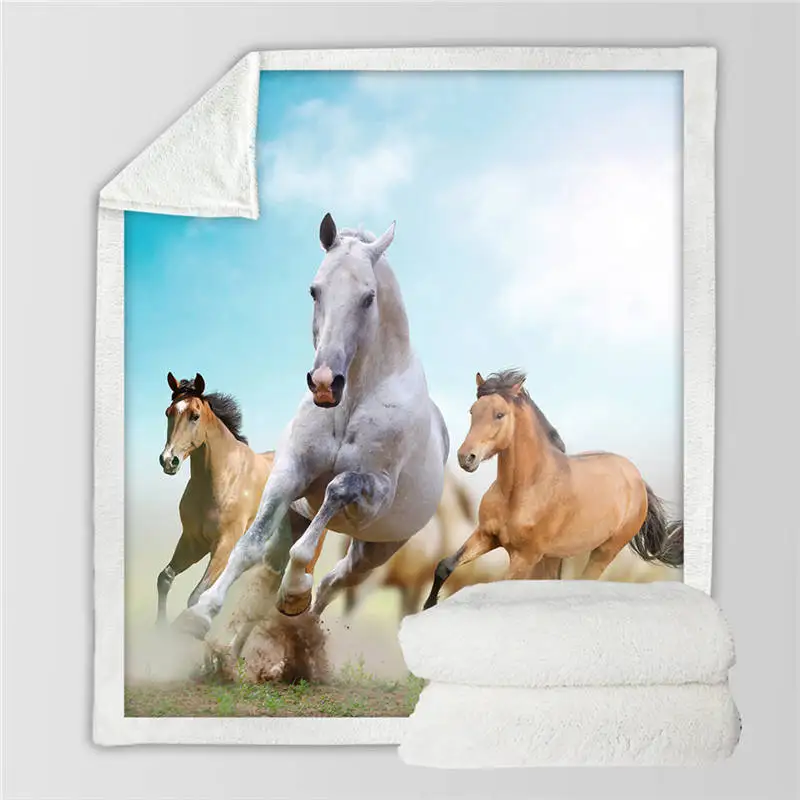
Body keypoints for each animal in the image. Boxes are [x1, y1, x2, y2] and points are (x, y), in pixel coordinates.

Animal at [157, 372, 326, 639]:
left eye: (195, 415)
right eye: (168, 412)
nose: (168, 460)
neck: (223, 478)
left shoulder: (225, 545)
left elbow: (196, 595)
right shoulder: (193, 541)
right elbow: (165, 578)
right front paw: (159, 629)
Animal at [175, 213, 449, 639]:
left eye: (369, 297)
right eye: (314, 291)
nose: (324, 383)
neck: (350, 403)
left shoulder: (373, 495)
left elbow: (334, 494)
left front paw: (294, 591)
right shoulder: (289, 473)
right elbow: (248, 545)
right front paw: (201, 612)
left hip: (375, 549)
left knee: (333, 582)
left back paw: (299, 616)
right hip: (302, 519)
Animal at [424, 369, 683, 608]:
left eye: (499, 414)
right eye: (473, 411)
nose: (466, 457)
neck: (522, 490)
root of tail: (638, 479)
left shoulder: (525, 557)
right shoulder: (486, 535)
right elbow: (444, 566)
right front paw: (428, 606)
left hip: (604, 551)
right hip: (553, 556)